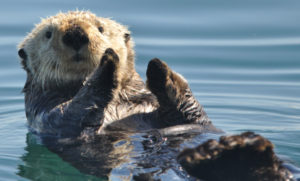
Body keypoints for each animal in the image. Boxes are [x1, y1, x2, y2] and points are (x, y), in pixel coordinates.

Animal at [17, 10, 294, 180]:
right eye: (48, 34)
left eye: (100, 28)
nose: (75, 34)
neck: (118, 101)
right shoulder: (48, 116)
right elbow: (74, 110)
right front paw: (107, 64)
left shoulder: (167, 108)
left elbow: (189, 107)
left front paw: (159, 69)